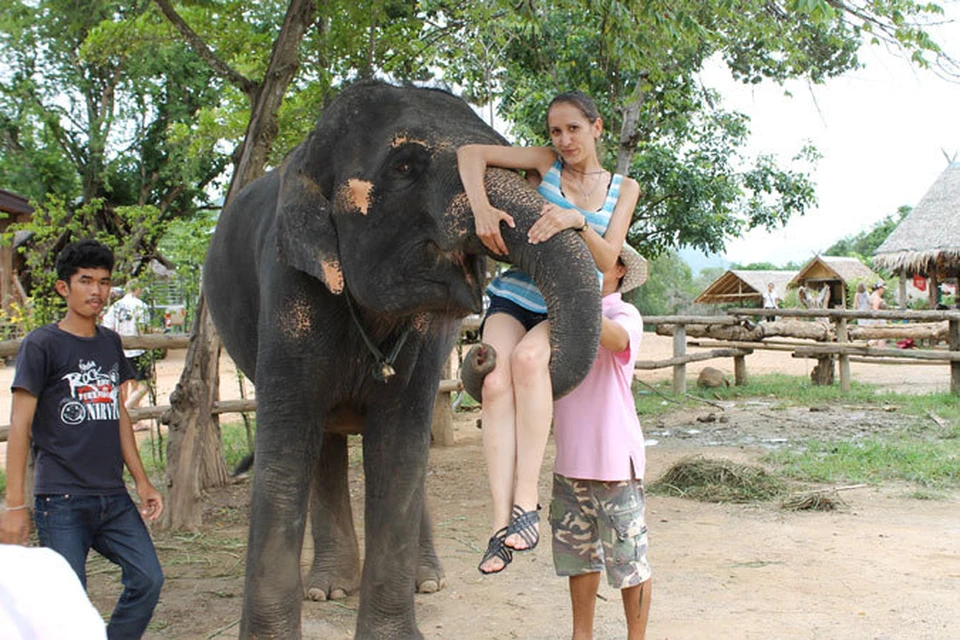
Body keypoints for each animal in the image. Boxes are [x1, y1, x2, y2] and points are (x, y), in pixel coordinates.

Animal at [204, 81, 600, 640]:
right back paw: (328, 589)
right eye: (405, 166)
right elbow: (284, 451)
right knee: (323, 442)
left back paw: (426, 581)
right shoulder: (287, 291)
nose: (484, 350)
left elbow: (399, 449)